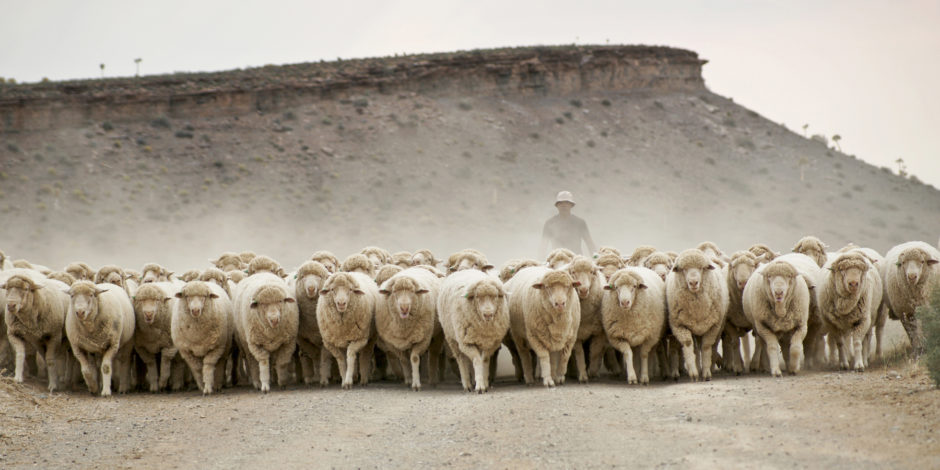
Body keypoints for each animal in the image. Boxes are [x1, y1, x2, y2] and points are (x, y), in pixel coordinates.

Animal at [664, 250, 732, 382]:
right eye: (684, 269)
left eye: (701, 268)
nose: (693, 282)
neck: (697, 310)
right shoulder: (679, 325)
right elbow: (688, 344)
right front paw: (694, 373)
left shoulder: (713, 326)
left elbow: (706, 346)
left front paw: (706, 373)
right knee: (695, 348)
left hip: (718, 326)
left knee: (712, 346)